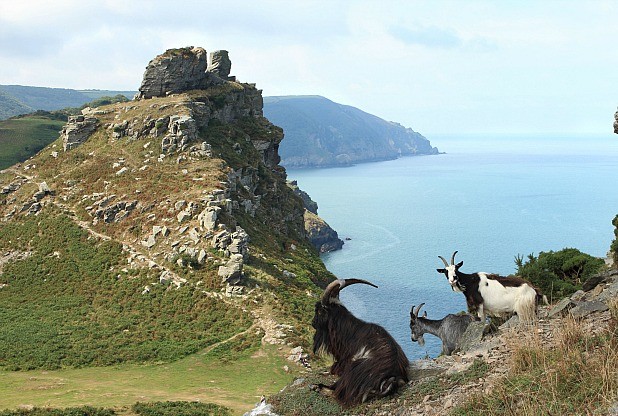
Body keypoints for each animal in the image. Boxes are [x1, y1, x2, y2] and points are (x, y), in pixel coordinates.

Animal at [308, 278, 410, 408]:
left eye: (319, 311)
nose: (313, 323)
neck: (349, 332)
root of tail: (390, 377)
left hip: (353, 370)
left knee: (338, 392)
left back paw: (316, 387)